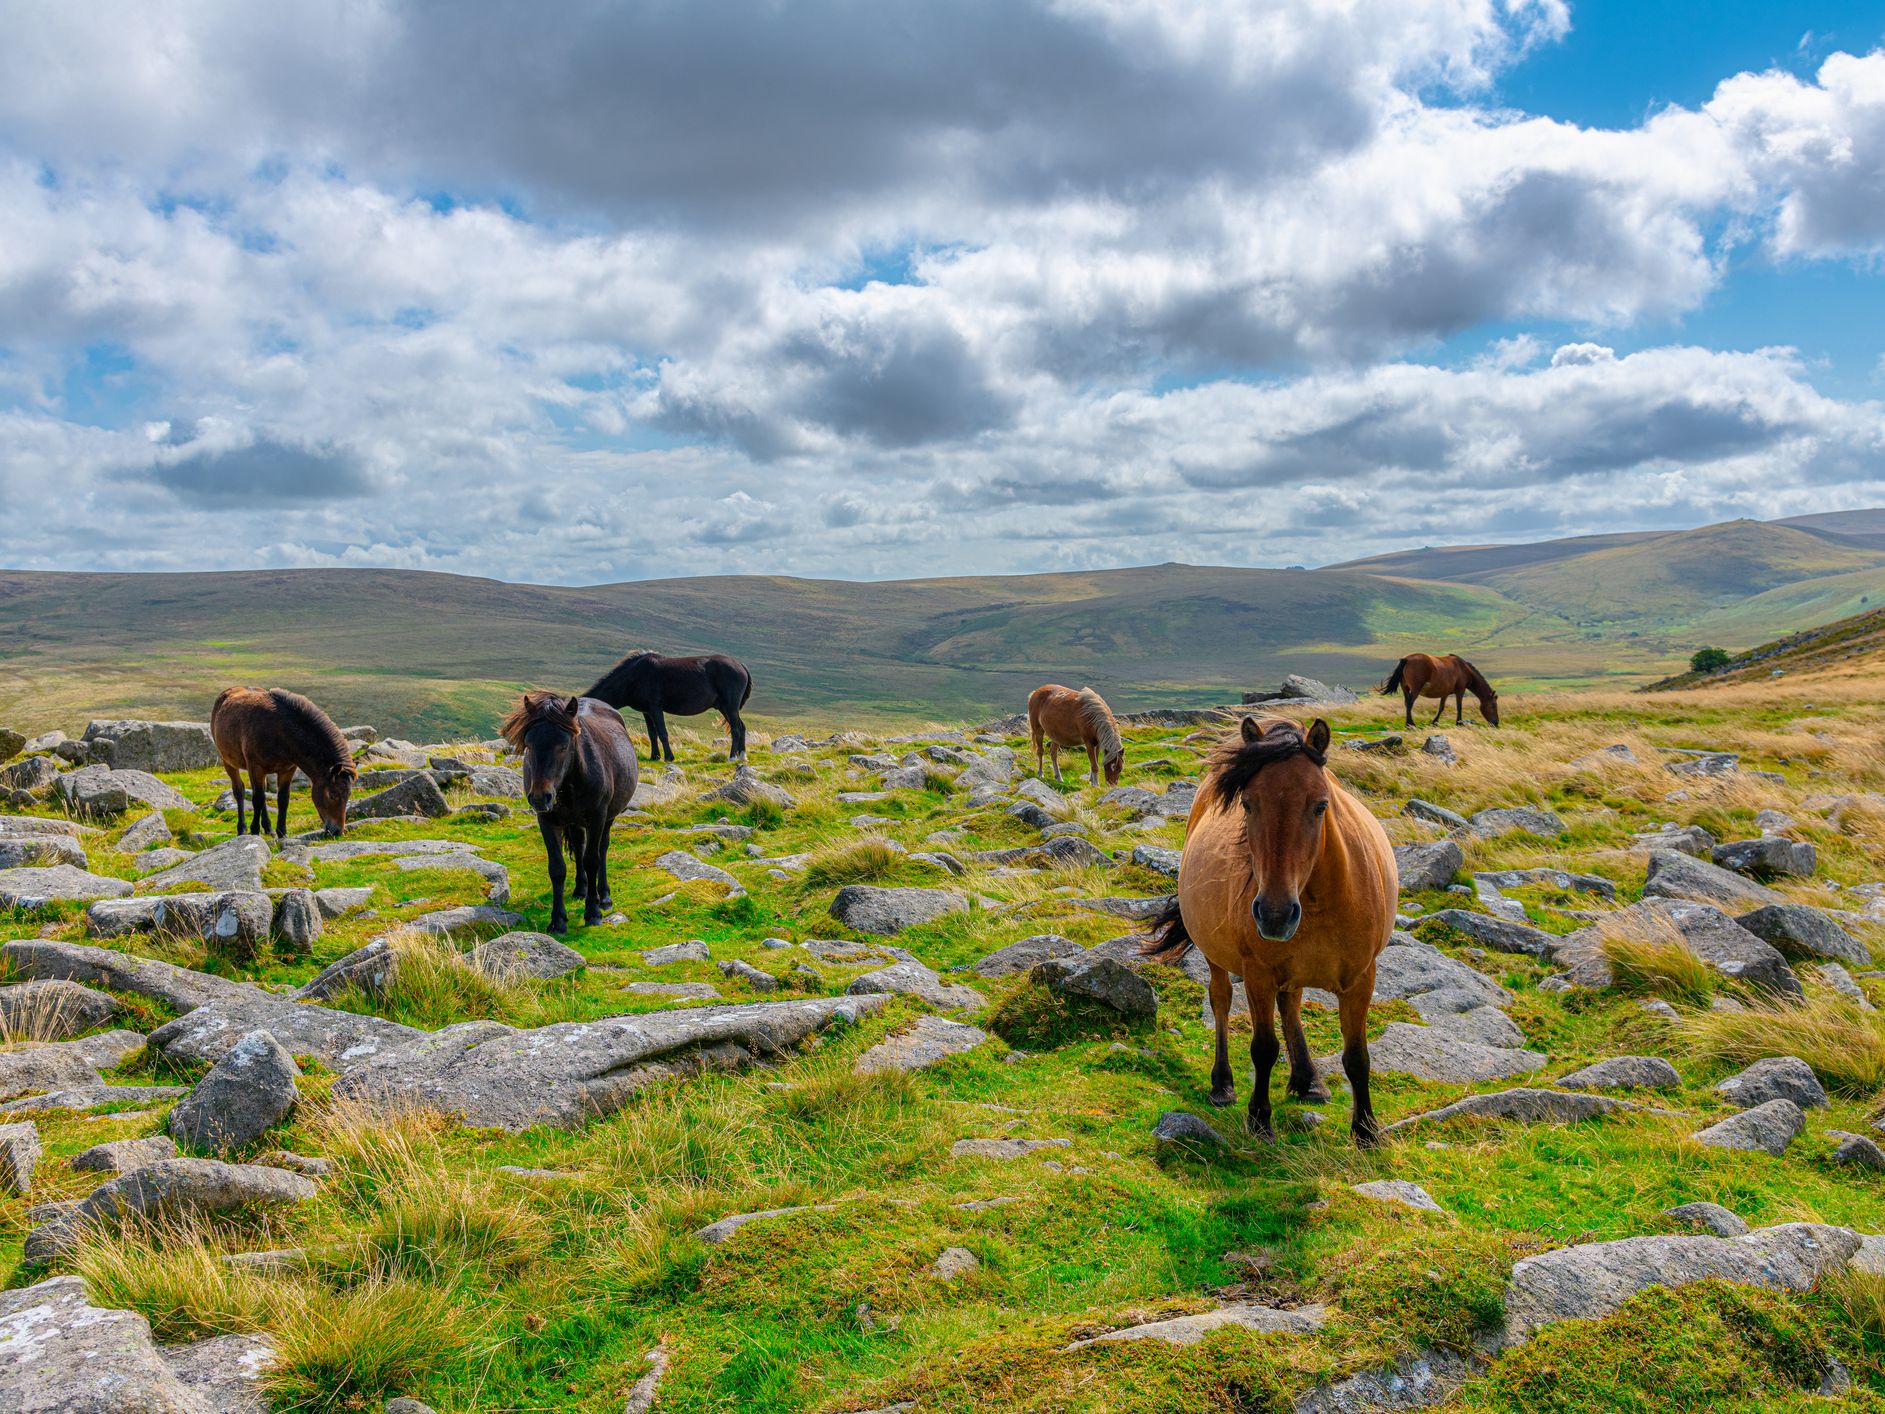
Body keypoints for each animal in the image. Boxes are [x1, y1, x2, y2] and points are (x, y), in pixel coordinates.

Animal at [210, 687, 358, 839]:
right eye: (332, 794)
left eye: (348, 795)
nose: (337, 831)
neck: (279, 730)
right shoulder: (256, 767)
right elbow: (257, 799)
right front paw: (254, 830)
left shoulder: (287, 770)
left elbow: (282, 799)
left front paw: (281, 831)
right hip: (229, 763)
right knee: (240, 791)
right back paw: (242, 829)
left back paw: (268, 828)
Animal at [499, 691, 639, 933]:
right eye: (529, 745)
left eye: (563, 746)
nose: (540, 797)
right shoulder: (546, 820)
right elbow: (557, 868)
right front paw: (558, 921)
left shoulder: (597, 817)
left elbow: (592, 860)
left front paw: (592, 913)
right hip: (573, 821)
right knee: (578, 844)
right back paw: (580, 890)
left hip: (607, 818)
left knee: (602, 849)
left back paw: (603, 897)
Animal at [584, 651, 753, 764]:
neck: (633, 677)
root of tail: (741, 666)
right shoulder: (647, 712)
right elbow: (652, 734)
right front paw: (654, 756)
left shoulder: (656, 708)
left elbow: (662, 733)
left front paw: (669, 757)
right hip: (724, 707)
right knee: (741, 727)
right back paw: (742, 756)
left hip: (730, 706)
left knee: (736, 729)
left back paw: (732, 757)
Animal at [1142, 715, 1397, 1146]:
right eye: (1248, 803)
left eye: (1321, 805)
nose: (1275, 916)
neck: (1320, 900)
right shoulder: (1258, 973)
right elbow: (1263, 1048)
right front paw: (1260, 1118)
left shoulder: (1361, 978)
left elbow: (1357, 1056)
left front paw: (1365, 1129)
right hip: (1217, 956)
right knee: (1221, 1000)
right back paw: (1223, 1084)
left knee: (1290, 1004)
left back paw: (1308, 1079)